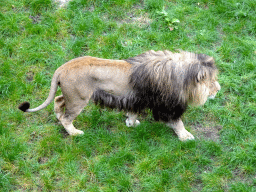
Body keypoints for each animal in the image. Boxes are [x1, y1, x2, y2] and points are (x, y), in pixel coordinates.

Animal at [19, 50, 221, 141]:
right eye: (211, 81)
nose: (218, 90)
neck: (180, 75)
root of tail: (61, 68)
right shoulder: (166, 106)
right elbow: (178, 123)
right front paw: (185, 136)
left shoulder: (136, 99)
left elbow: (132, 112)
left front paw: (131, 123)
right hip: (79, 99)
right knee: (67, 118)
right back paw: (75, 132)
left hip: (70, 95)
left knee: (58, 101)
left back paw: (57, 115)